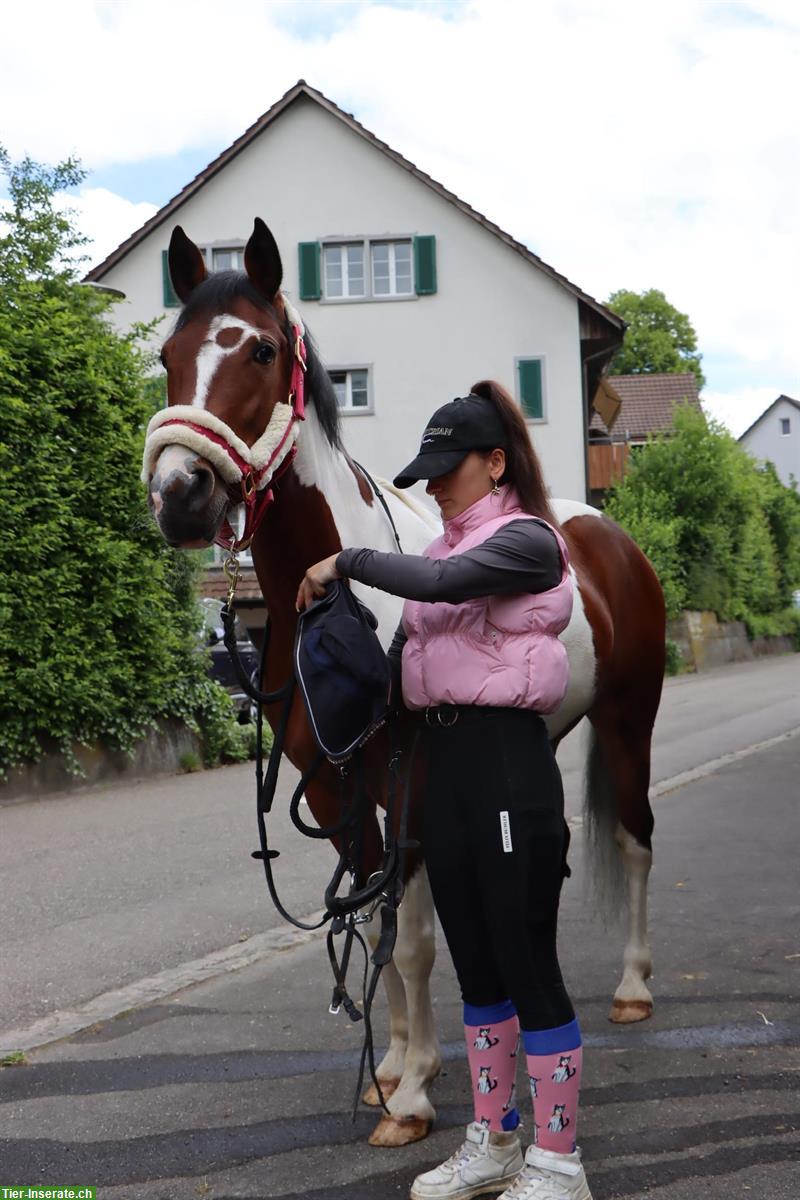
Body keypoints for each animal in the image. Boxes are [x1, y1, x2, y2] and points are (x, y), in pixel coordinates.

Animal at [142, 218, 662, 1152]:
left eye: (261, 349)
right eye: (168, 353)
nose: (180, 495)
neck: (334, 604)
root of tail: (605, 532)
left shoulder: (405, 779)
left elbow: (410, 935)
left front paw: (415, 1092)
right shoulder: (331, 785)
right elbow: (365, 916)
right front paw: (389, 1067)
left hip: (630, 722)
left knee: (634, 839)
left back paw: (634, 985)